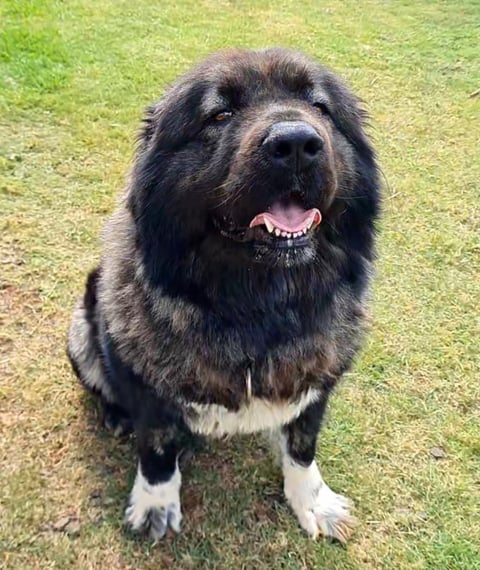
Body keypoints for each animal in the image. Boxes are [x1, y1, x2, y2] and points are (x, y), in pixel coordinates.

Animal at [68, 48, 382, 540]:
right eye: (220, 114)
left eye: (320, 107)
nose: (296, 143)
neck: (256, 310)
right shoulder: (146, 385)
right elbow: (157, 447)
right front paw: (156, 503)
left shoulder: (319, 379)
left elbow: (303, 444)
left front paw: (312, 501)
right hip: (82, 328)